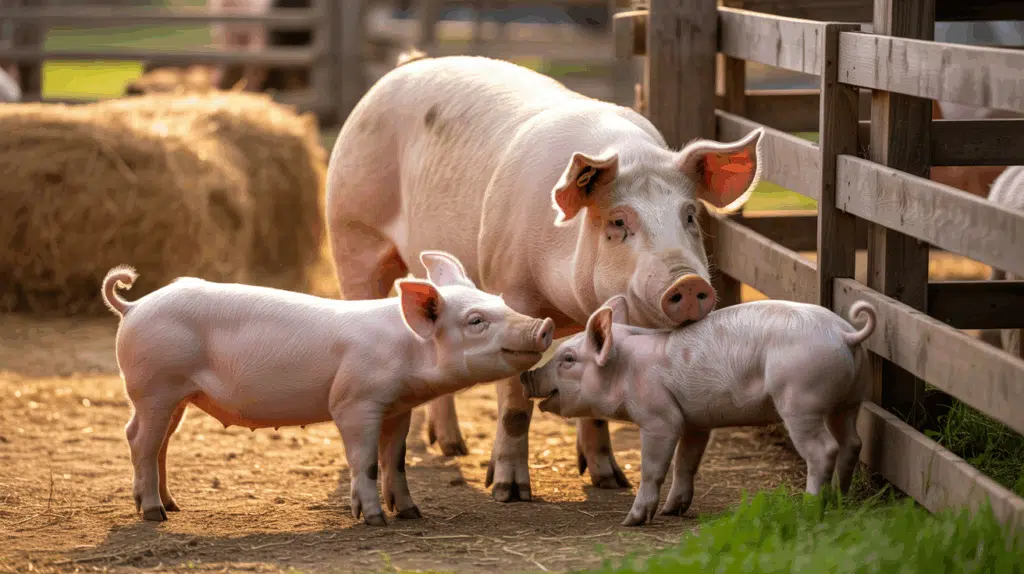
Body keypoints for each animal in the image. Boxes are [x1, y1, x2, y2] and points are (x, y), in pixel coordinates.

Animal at [99, 251, 554, 526]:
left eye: (501, 301)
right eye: (476, 320)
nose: (544, 325)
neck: (406, 349)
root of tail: (134, 306)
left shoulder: (398, 407)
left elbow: (396, 460)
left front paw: (411, 513)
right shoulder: (354, 402)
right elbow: (365, 461)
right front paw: (374, 520)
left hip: (176, 396)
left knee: (159, 444)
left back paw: (172, 506)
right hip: (154, 387)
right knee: (138, 439)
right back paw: (155, 514)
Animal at [326, 51, 765, 502]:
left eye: (690, 215)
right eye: (618, 222)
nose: (688, 283)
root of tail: (404, 67)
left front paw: (611, 482)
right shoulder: (510, 290)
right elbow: (515, 404)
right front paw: (509, 492)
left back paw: (453, 446)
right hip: (351, 232)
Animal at [520, 295, 876, 526]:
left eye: (568, 359)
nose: (526, 375)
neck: (626, 370)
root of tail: (845, 333)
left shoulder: (660, 418)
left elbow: (654, 468)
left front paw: (632, 521)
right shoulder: (695, 421)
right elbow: (685, 463)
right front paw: (671, 511)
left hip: (801, 400)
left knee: (824, 449)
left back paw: (811, 508)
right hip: (849, 400)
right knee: (853, 443)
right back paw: (840, 498)